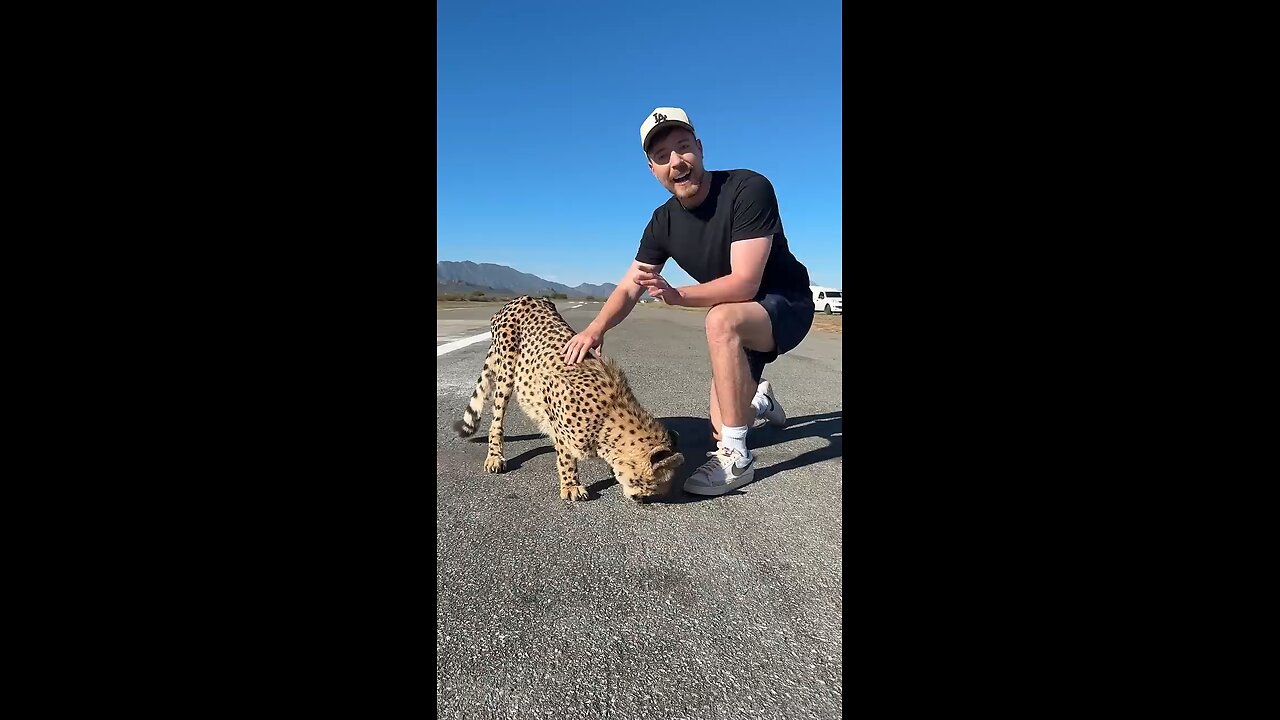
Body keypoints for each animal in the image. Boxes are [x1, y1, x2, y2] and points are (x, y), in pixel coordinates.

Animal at [453, 295, 684, 502]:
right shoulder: (553, 400)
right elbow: (566, 457)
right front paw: (571, 486)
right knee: (496, 421)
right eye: (654, 484)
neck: (610, 417)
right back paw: (495, 457)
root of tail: (521, 298)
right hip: (506, 373)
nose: (643, 500)